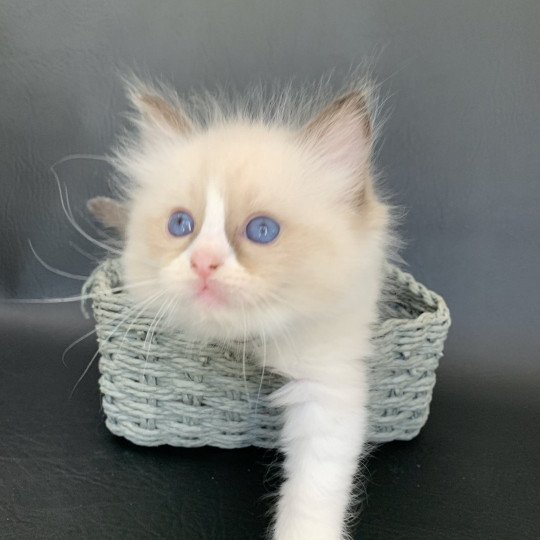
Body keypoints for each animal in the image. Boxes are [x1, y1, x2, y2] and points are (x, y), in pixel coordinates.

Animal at [90, 79, 390, 540]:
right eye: (181, 225)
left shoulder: (329, 385)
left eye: (262, 231)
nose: (203, 263)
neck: (249, 340)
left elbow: (313, 492)